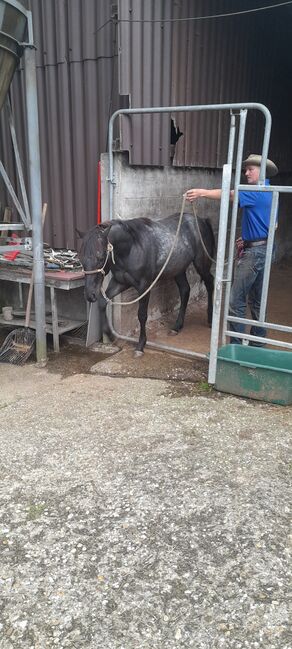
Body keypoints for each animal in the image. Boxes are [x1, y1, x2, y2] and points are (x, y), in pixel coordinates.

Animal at [80, 213, 214, 354]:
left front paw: (140, 345)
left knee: (210, 283)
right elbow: (102, 303)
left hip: (201, 265)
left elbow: (142, 315)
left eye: (100, 258)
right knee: (185, 290)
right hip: (178, 269)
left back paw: (210, 319)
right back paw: (177, 327)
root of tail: (202, 220)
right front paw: (110, 334)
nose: (90, 295)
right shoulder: (120, 282)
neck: (132, 248)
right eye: (81, 259)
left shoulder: (144, 286)